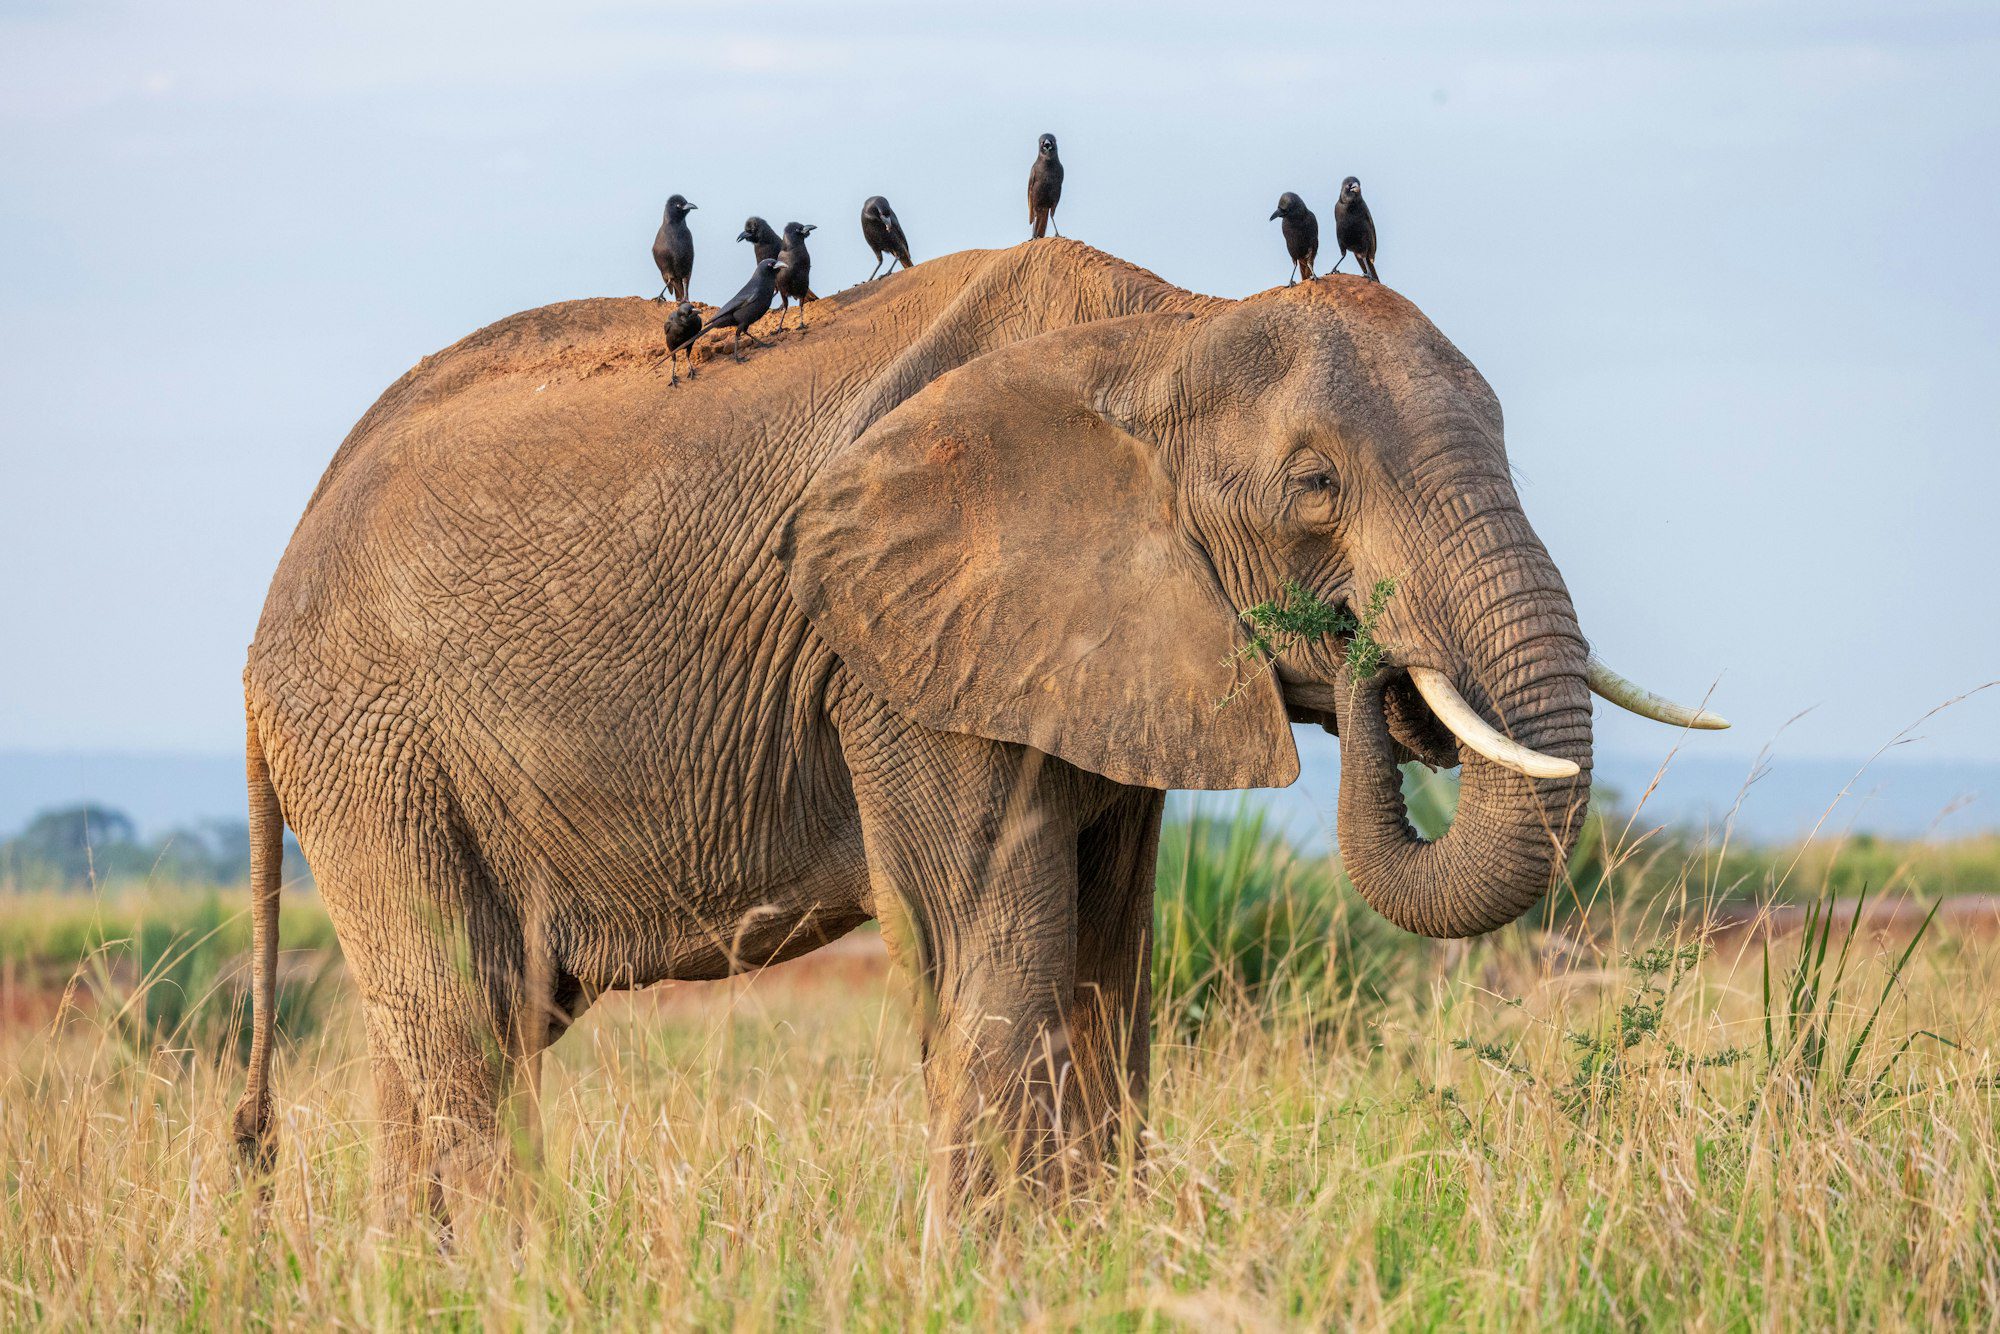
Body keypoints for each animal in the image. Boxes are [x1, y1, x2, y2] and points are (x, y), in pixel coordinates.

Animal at [229, 238, 1725, 1231]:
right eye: (1315, 485)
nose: (1363, 649)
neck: (1161, 331)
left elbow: (1106, 963)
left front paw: (1099, 1260)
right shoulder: (898, 658)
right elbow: (986, 942)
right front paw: (986, 1273)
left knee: (439, 1026)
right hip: (368, 735)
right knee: (466, 1019)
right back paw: (508, 1272)